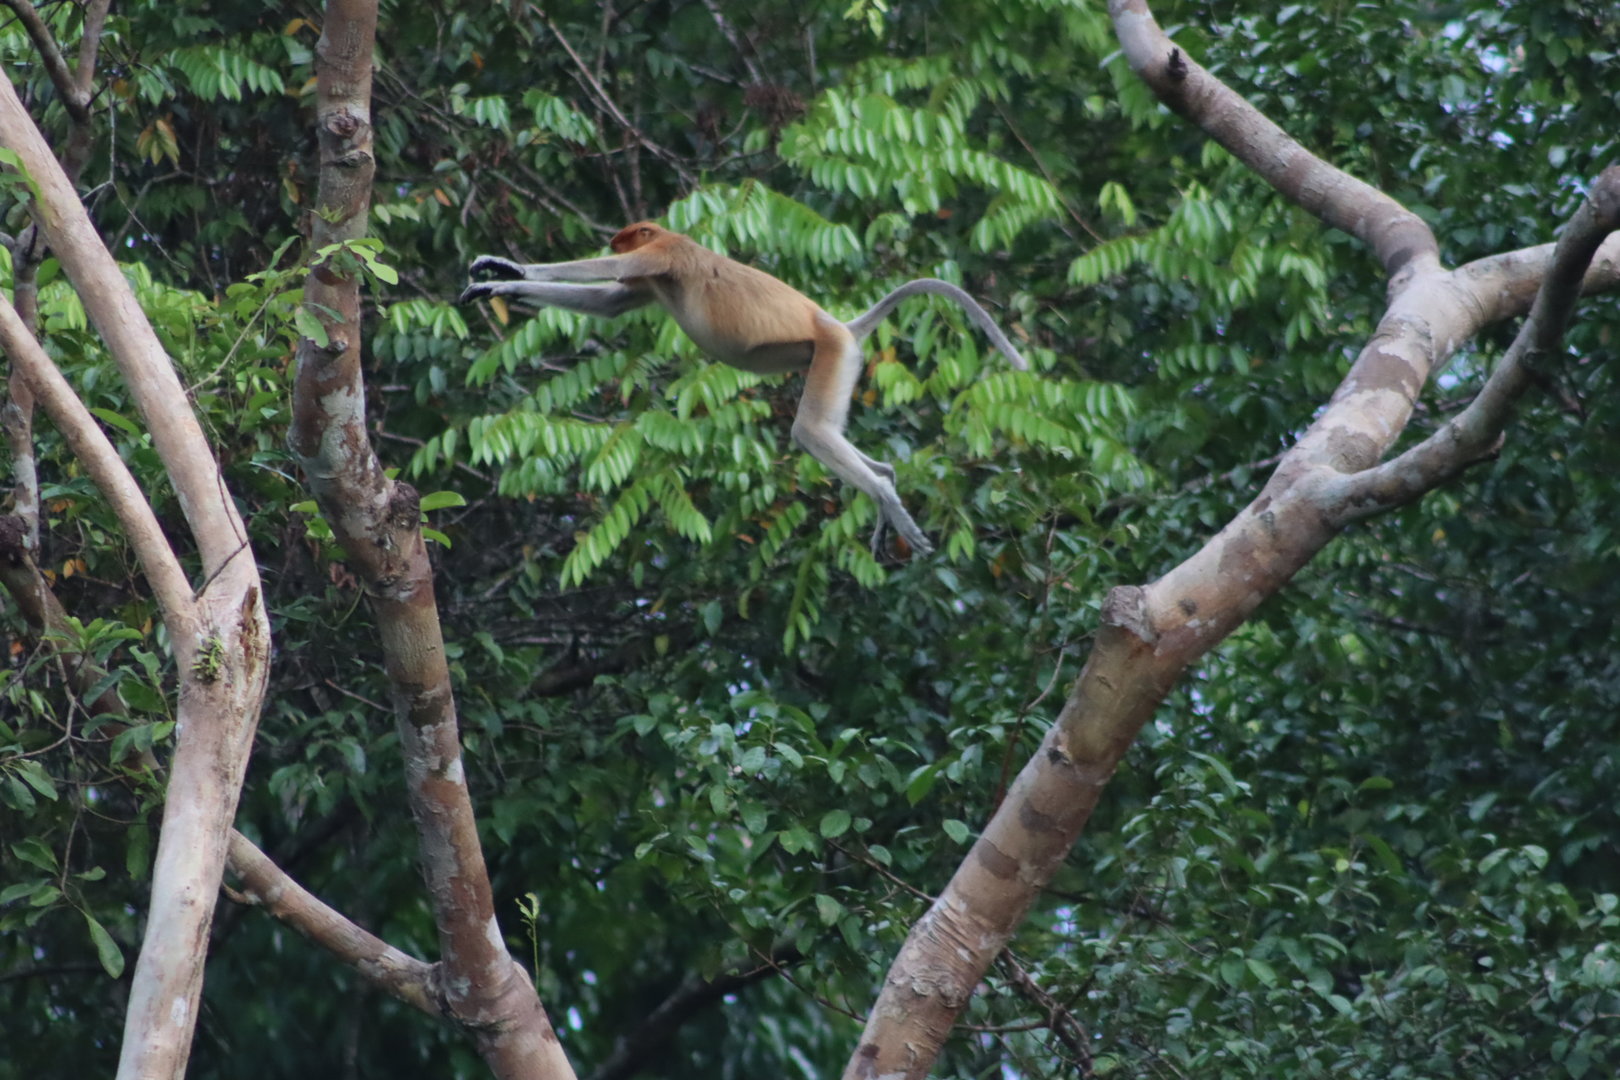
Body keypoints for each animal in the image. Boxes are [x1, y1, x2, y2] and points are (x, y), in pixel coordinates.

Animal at [460, 222, 1028, 556]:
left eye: (625, 236)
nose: (613, 239)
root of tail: (842, 325)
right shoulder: (652, 281)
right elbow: (609, 303)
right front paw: (501, 276)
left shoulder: (666, 252)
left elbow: (611, 273)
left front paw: (504, 273)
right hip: (837, 357)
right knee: (830, 434)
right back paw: (886, 486)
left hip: (832, 353)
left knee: (810, 431)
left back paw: (885, 495)